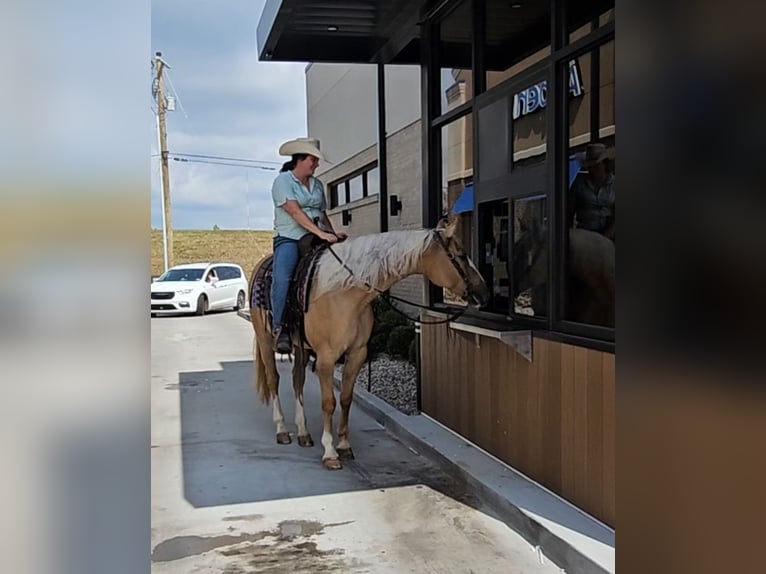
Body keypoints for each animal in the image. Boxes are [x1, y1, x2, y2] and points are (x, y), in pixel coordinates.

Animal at [248, 217, 490, 470]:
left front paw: (344, 445)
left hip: (301, 348)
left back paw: (303, 433)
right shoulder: (326, 358)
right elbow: (328, 402)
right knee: (274, 379)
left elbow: (345, 399)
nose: (484, 294)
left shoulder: (357, 354)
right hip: (266, 341)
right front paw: (330, 451)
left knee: (297, 381)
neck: (344, 293)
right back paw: (282, 430)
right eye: (460, 254)